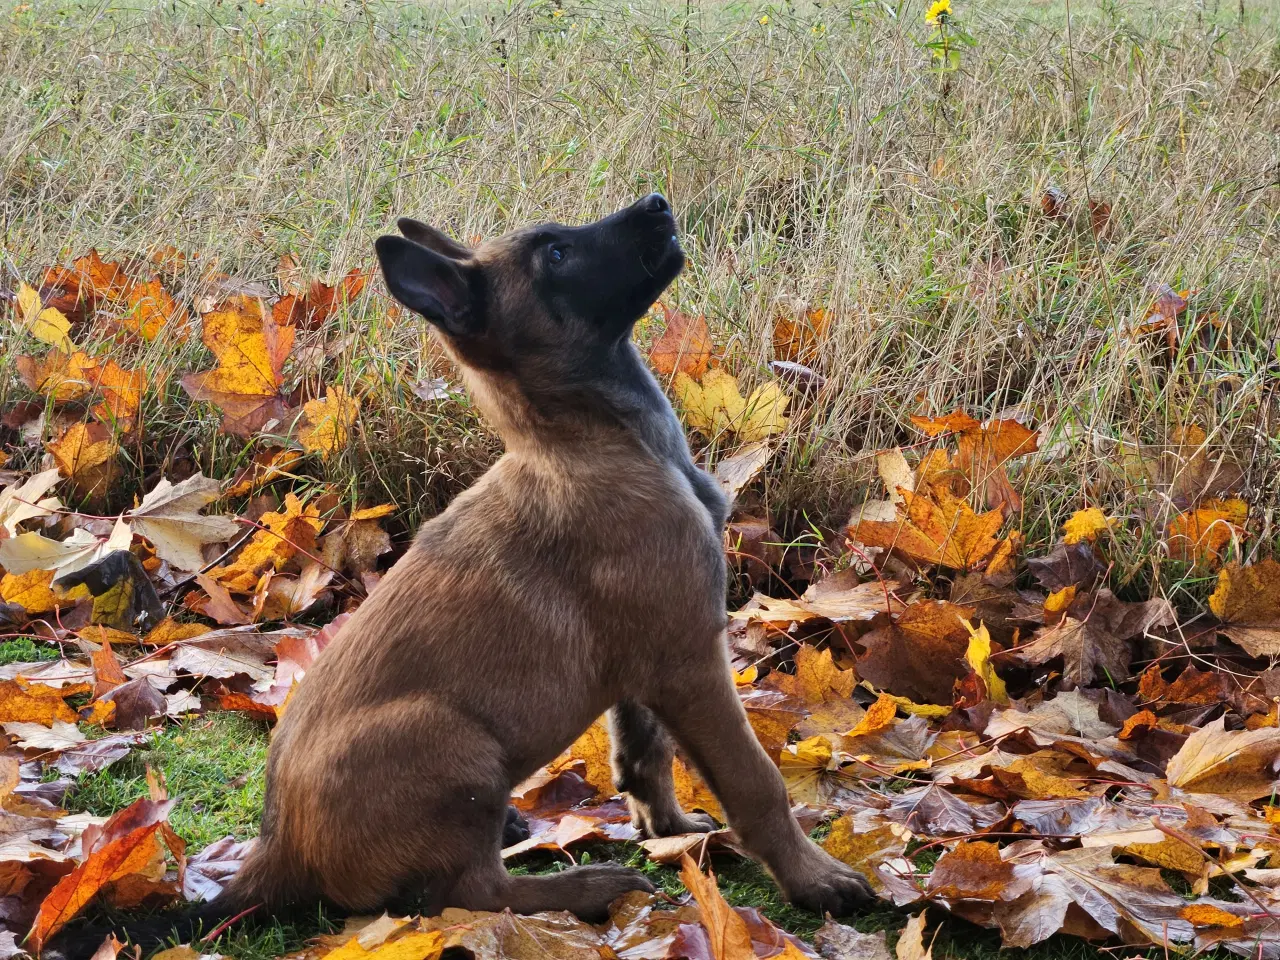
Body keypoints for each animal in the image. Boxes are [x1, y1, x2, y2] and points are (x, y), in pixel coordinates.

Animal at [64, 193, 875, 957]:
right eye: (555, 254)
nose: (657, 204)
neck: (593, 442)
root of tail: (276, 853)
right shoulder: (689, 659)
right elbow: (754, 782)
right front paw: (815, 878)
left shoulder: (646, 665)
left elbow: (643, 756)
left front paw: (668, 827)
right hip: (459, 745)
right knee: (468, 893)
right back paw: (585, 888)